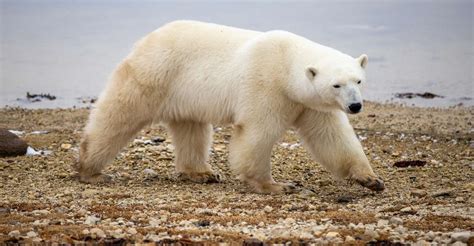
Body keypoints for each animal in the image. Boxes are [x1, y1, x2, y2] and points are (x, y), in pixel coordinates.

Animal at [75, 20, 386, 193]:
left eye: (358, 80)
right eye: (336, 85)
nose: (355, 106)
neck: (286, 63)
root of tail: (147, 39)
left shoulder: (309, 103)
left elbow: (331, 137)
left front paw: (371, 179)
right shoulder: (266, 85)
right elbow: (257, 134)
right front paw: (275, 185)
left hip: (186, 94)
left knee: (192, 129)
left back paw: (202, 172)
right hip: (155, 74)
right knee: (118, 116)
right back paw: (91, 169)